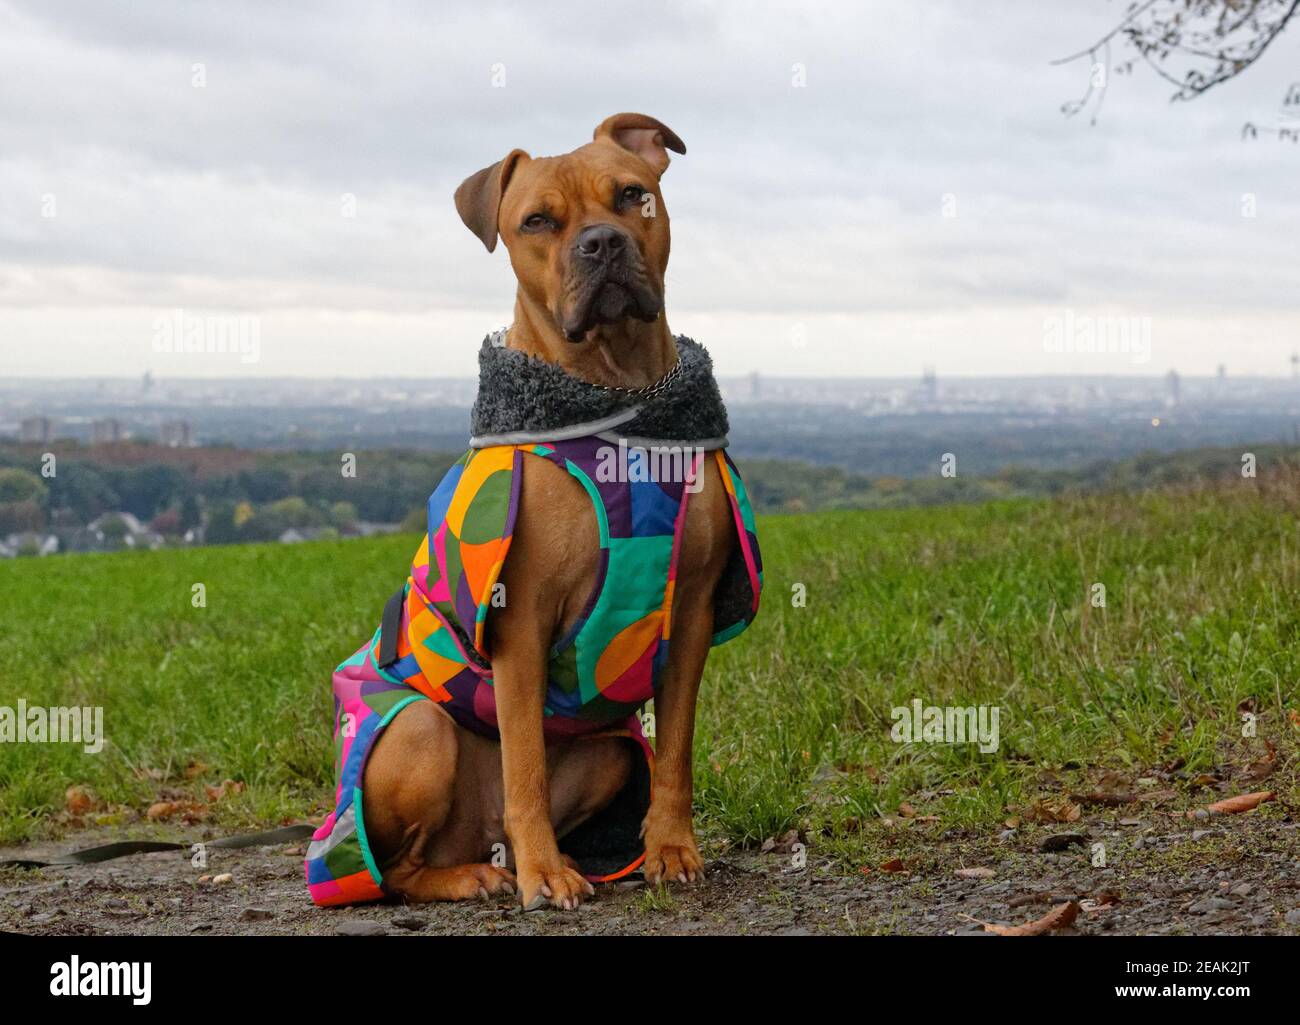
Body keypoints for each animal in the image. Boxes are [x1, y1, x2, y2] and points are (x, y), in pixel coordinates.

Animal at [361, 116, 738, 910]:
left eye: (632, 195)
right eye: (537, 221)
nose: (602, 243)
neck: (616, 399)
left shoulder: (691, 612)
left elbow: (676, 749)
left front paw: (671, 847)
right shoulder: (521, 622)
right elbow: (525, 765)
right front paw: (544, 874)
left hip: (604, 755)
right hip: (418, 732)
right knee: (400, 868)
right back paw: (480, 873)